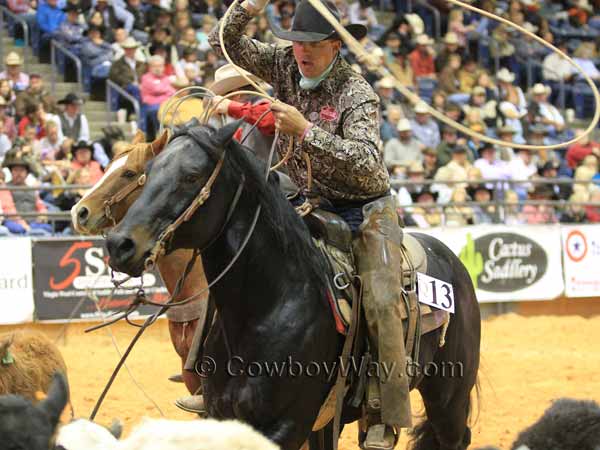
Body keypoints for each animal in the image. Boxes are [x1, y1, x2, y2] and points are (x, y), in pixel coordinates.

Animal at [105, 122, 480, 450]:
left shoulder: (286, 426)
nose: (119, 244)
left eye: (192, 175)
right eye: (147, 172)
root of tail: (449, 258)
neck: (268, 306)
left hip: (448, 396)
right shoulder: (225, 415)